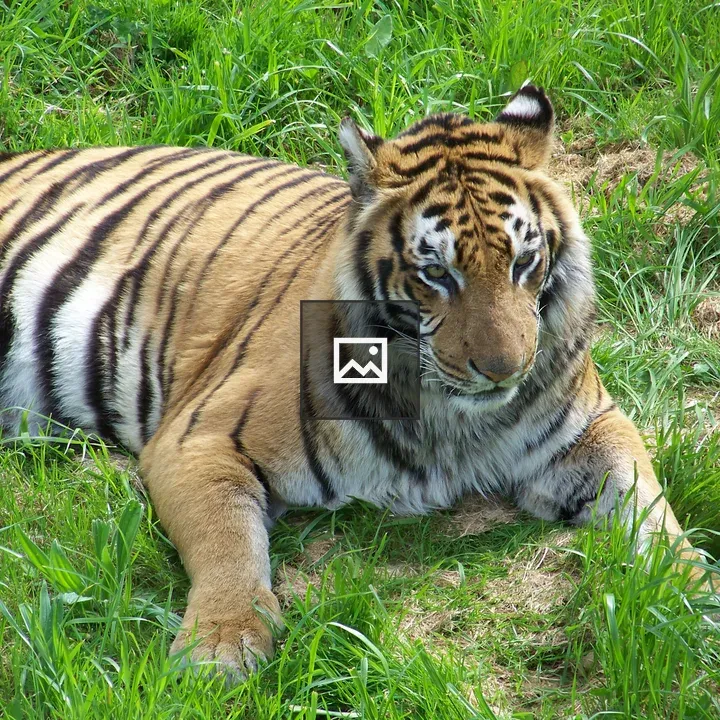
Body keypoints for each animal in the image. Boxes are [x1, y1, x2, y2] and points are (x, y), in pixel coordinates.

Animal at [0, 85, 707, 683]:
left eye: (523, 261)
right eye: (436, 273)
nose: (504, 369)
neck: (455, 416)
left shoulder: (593, 427)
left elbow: (650, 506)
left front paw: (692, 594)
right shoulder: (198, 439)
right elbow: (228, 544)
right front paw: (219, 649)